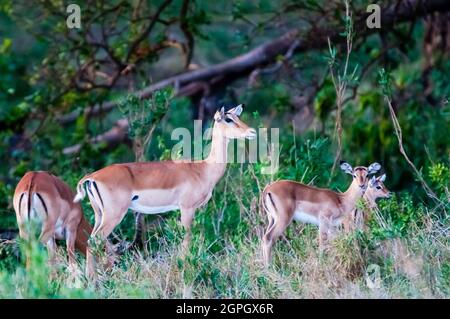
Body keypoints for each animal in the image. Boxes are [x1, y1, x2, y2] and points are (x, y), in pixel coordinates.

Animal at [74, 105, 256, 280]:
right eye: (228, 119)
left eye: (238, 116)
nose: (252, 132)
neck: (202, 169)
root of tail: (92, 177)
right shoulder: (187, 208)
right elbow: (186, 241)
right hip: (113, 215)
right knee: (94, 241)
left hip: (99, 215)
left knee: (91, 241)